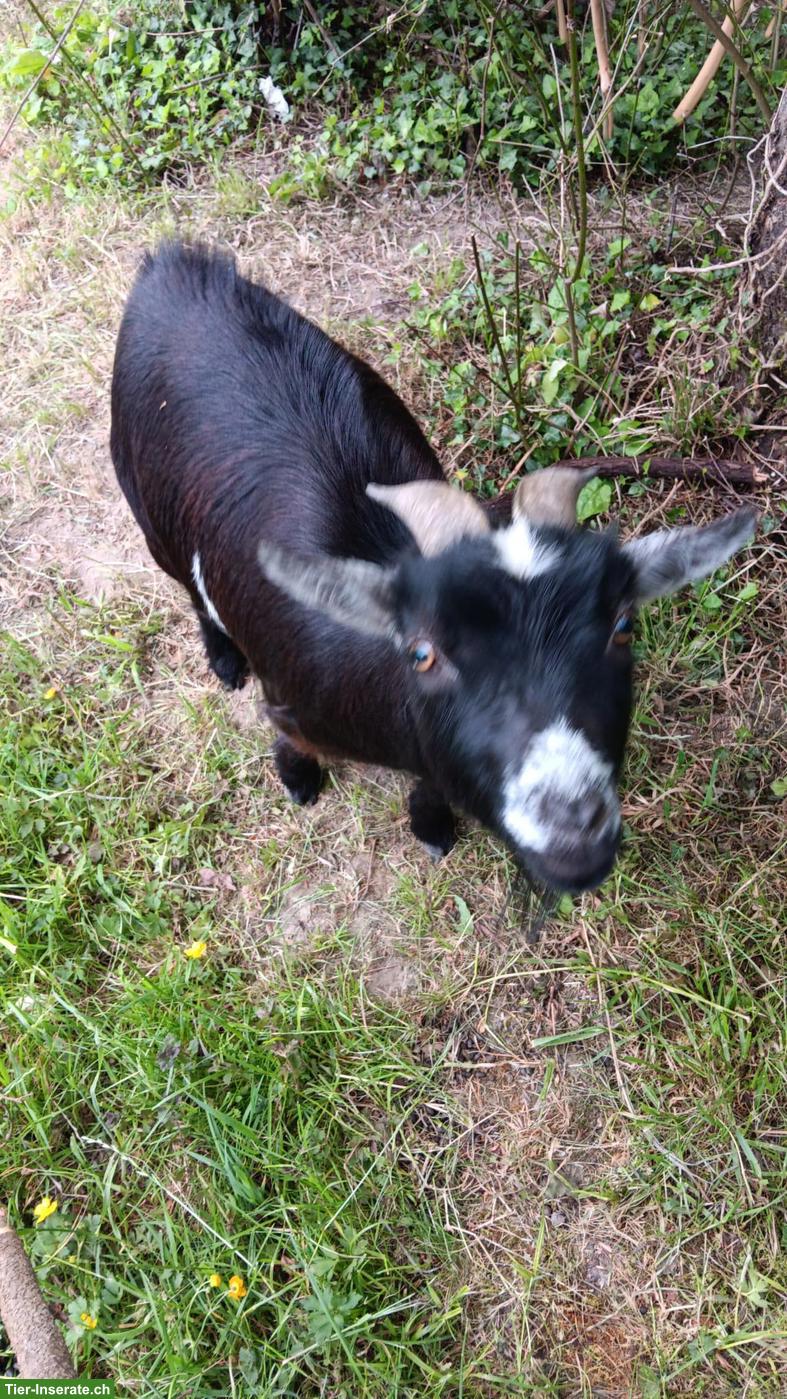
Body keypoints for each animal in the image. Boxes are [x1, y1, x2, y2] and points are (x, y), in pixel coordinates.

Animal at [110, 243, 756, 892]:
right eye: (422, 653)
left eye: (623, 627)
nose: (572, 832)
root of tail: (170, 263)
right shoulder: (291, 699)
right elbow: (286, 733)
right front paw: (297, 778)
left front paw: (431, 824)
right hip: (148, 513)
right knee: (191, 589)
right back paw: (224, 660)